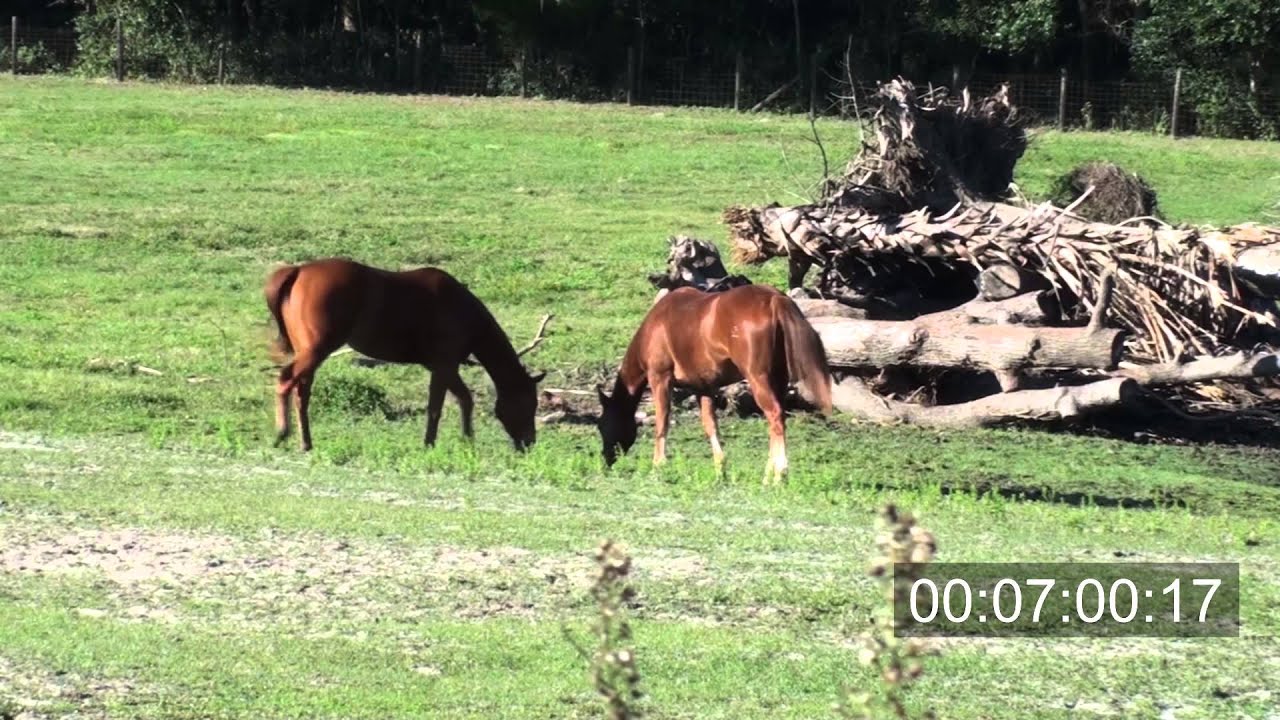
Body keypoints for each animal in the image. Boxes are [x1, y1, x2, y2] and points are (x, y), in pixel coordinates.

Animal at [264, 258, 545, 452]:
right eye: (528, 403)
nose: (529, 443)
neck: (463, 311)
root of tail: (298, 271)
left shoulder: (442, 367)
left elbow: (463, 399)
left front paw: (467, 441)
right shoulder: (444, 366)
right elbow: (437, 407)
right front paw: (430, 444)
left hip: (309, 353)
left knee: (301, 393)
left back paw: (305, 443)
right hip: (315, 351)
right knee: (285, 380)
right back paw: (281, 432)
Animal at [597, 284, 833, 484]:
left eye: (603, 424)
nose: (606, 460)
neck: (656, 326)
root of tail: (774, 299)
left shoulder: (659, 378)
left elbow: (662, 423)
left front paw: (658, 467)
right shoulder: (704, 387)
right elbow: (710, 426)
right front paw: (721, 469)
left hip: (758, 378)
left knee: (775, 416)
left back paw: (777, 475)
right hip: (778, 379)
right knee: (778, 418)